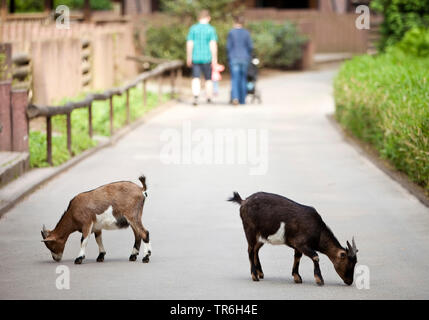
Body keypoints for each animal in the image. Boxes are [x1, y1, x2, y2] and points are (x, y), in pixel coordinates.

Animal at [227, 191, 358, 286]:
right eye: (349, 263)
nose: (349, 282)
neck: (318, 232)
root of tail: (243, 201)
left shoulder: (297, 246)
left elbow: (297, 258)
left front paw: (297, 277)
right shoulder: (301, 244)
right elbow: (315, 256)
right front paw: (319, 280)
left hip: (261, 236)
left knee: (255, 250)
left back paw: (260, 273)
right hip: (250, 230)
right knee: (250, 250)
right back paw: (254, 276)